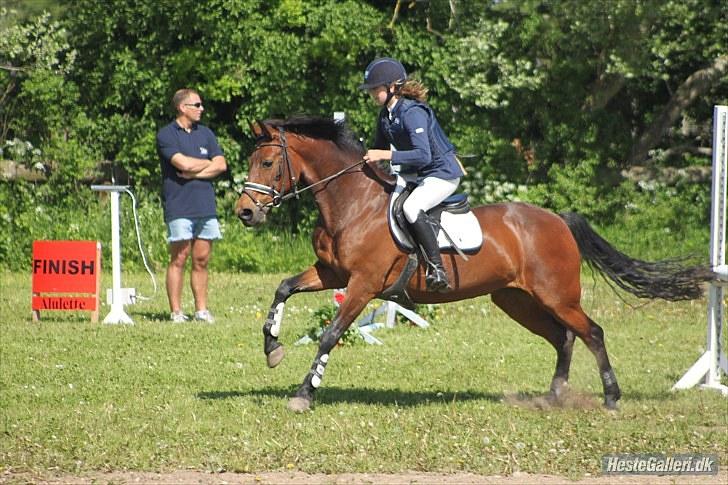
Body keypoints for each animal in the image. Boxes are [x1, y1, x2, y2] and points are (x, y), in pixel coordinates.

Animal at [236, 115, 708, 410]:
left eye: (268, 162)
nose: (245, 213)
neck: (351, 203)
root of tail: (558, 219)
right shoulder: (332, 274)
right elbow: (283, 288)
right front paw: (273, 349)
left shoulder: (363, 284)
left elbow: (330, 334)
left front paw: (304, 393)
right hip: (516, 300)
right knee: (563, 338)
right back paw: (554, 395)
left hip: (557, 295)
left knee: (591, 332)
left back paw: (611, 397)